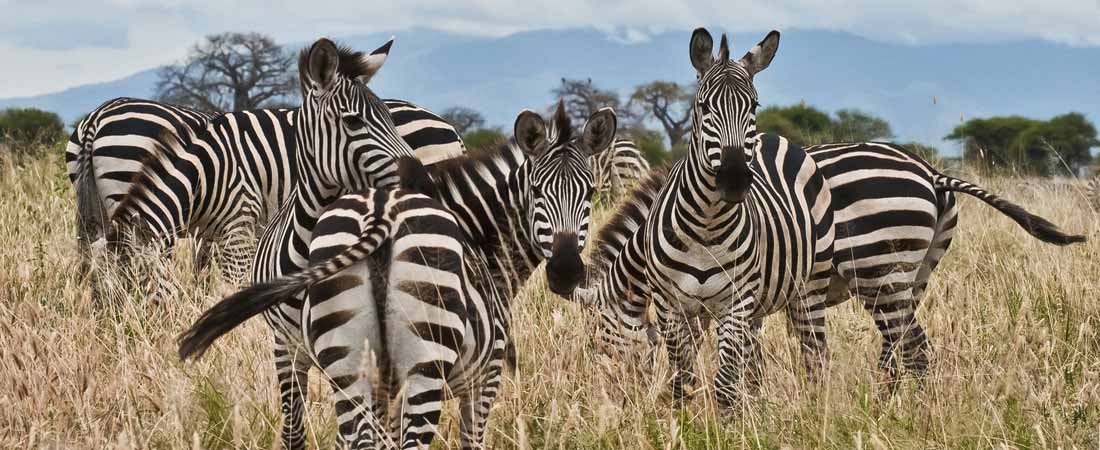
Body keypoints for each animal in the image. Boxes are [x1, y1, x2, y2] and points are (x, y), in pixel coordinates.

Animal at [176, 100, 616, 446]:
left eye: (592, 193)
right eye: (537, 191)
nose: (565, 271)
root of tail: (379, 217)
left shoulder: (385, 388)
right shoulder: (483, 381)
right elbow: (471, 440)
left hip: (344, 364)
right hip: (424, 363)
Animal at [567, 29, 831, 404]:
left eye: (754, 106)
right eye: (704, 106)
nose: (735, 178)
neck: (706, 224)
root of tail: (776, 138)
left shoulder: (733, 303)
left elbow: (723, 380)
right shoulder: (673, 306)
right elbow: (684, 373)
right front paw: (680, 411)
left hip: (810, 287)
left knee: (813, 352)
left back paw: (812, 402)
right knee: (755, 358)